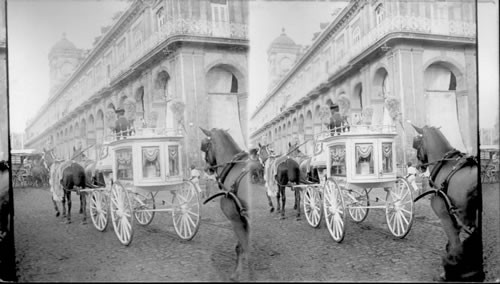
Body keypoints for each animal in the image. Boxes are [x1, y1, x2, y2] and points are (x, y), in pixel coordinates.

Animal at [199, 127, 266, 280]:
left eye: (204, 146)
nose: (207, 168)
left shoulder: (235, 219)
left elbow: (244, 248)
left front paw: (242, 274)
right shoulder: (243, 219)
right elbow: (241, 247)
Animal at [410, 124, 484, 282]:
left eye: (417, 143)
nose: (420, 166)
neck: (446, 166)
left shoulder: (445, 217)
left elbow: (455, 245)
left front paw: (450, 270)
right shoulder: (456, 218)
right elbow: (452, 245)